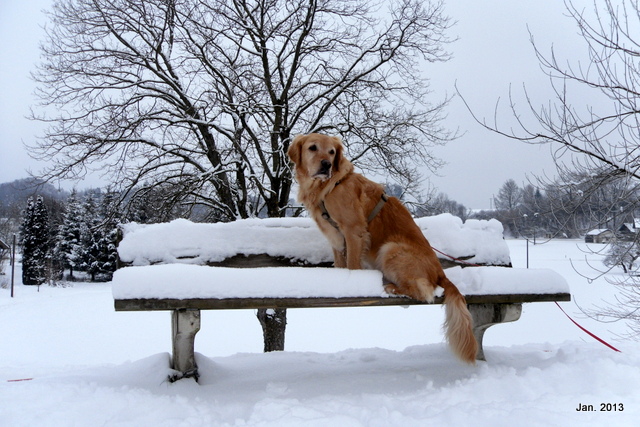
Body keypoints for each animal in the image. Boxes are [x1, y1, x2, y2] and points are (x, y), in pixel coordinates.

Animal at [288, 134, 478, 364]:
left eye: (332, 152)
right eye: (313, 148)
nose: (326, 165)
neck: (328, 186)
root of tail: (440, 272)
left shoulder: (353, 231)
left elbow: (352, 264)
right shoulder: (336, 237)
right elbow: (340, 263)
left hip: (390, 249)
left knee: (423, 291)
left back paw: (391, 287)